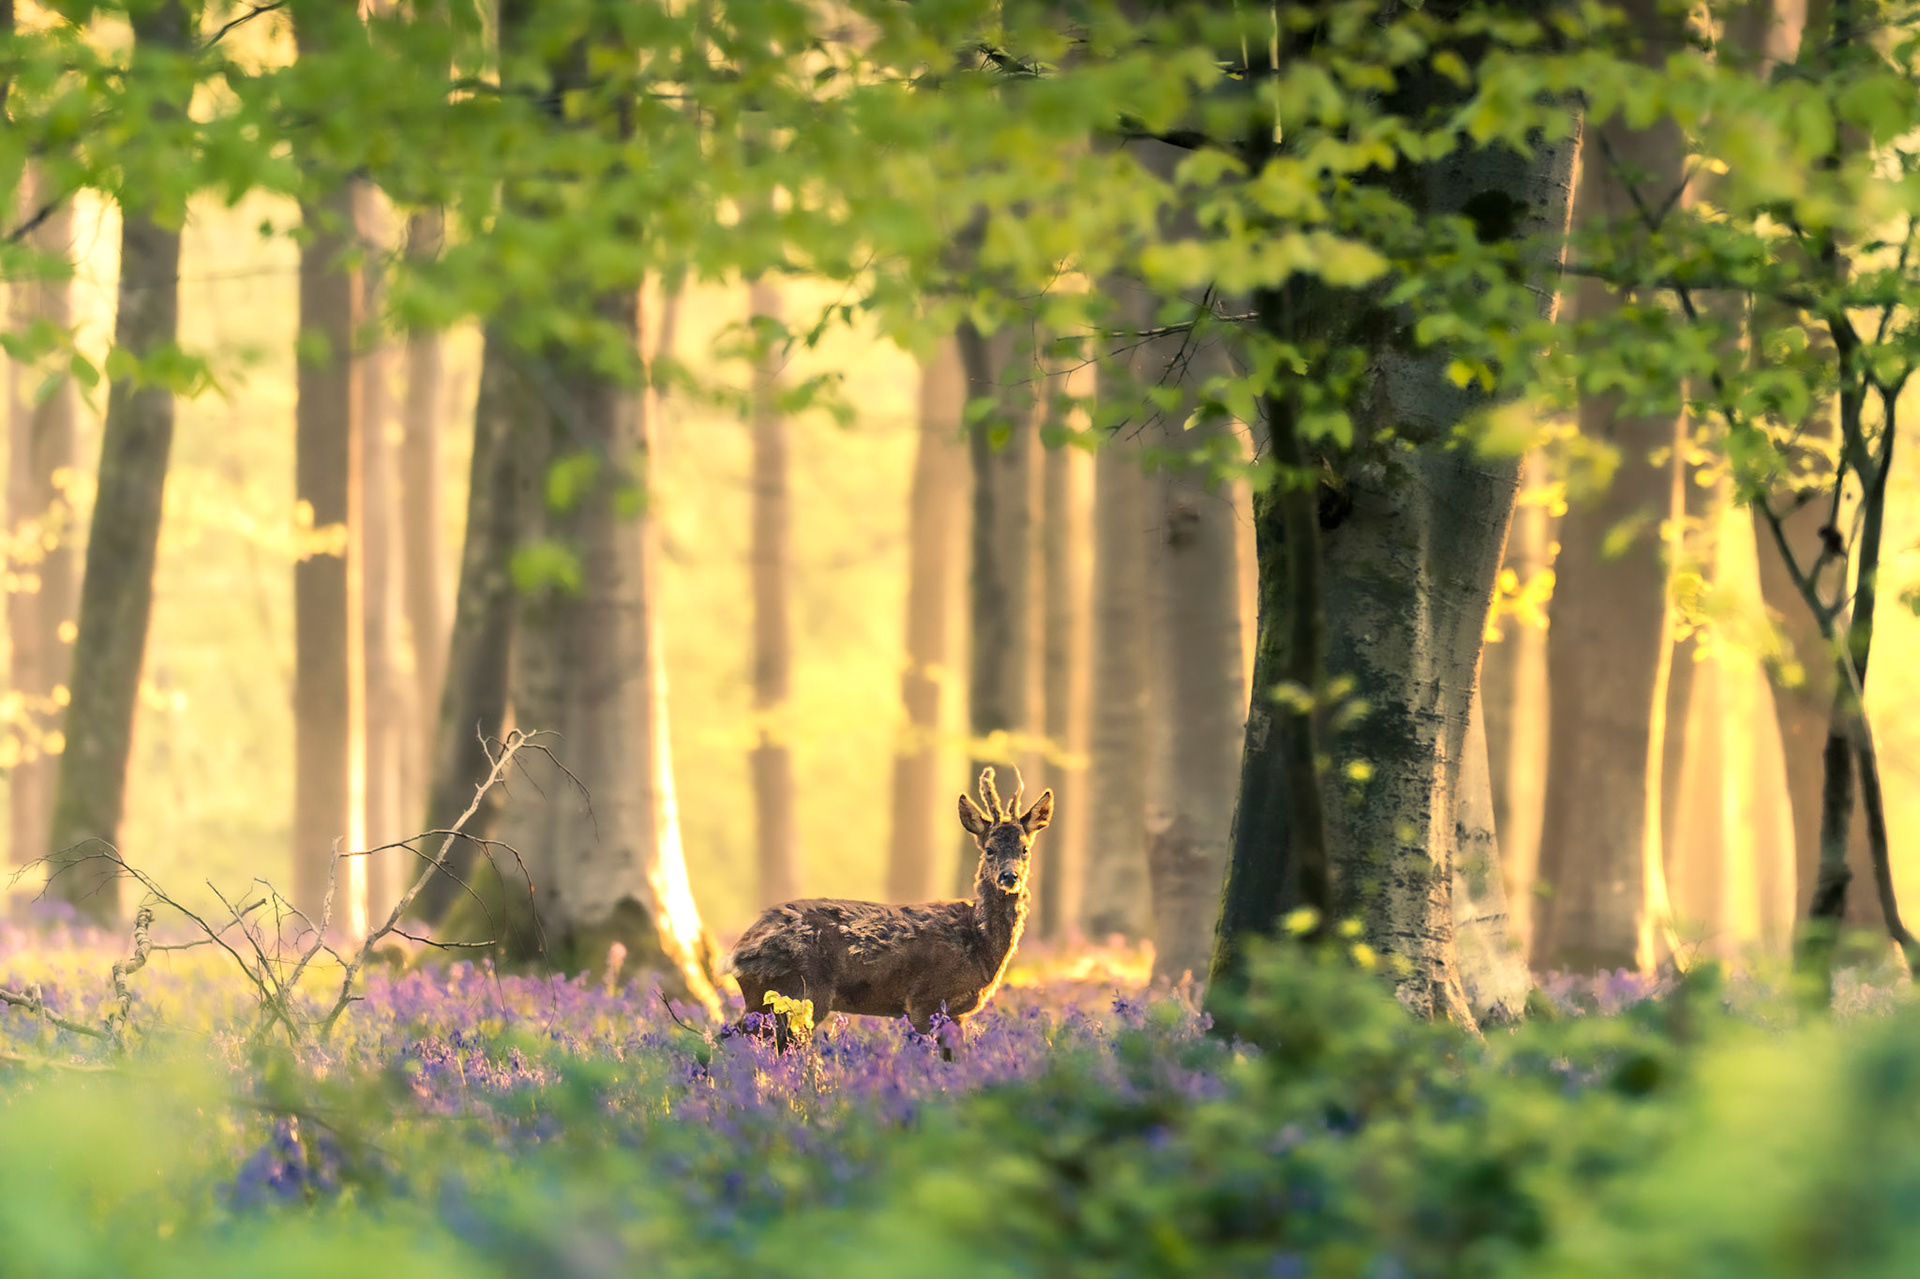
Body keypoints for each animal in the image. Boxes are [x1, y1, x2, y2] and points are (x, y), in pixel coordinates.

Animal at [726, 766, 1052, 1056]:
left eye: (1025, 849)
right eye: (989, 849)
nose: (1009, 877)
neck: (978, 944)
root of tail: (737, 953)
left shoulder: (957, 1013)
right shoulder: (924, 1000)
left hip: (767, 1000)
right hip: (799, 993)